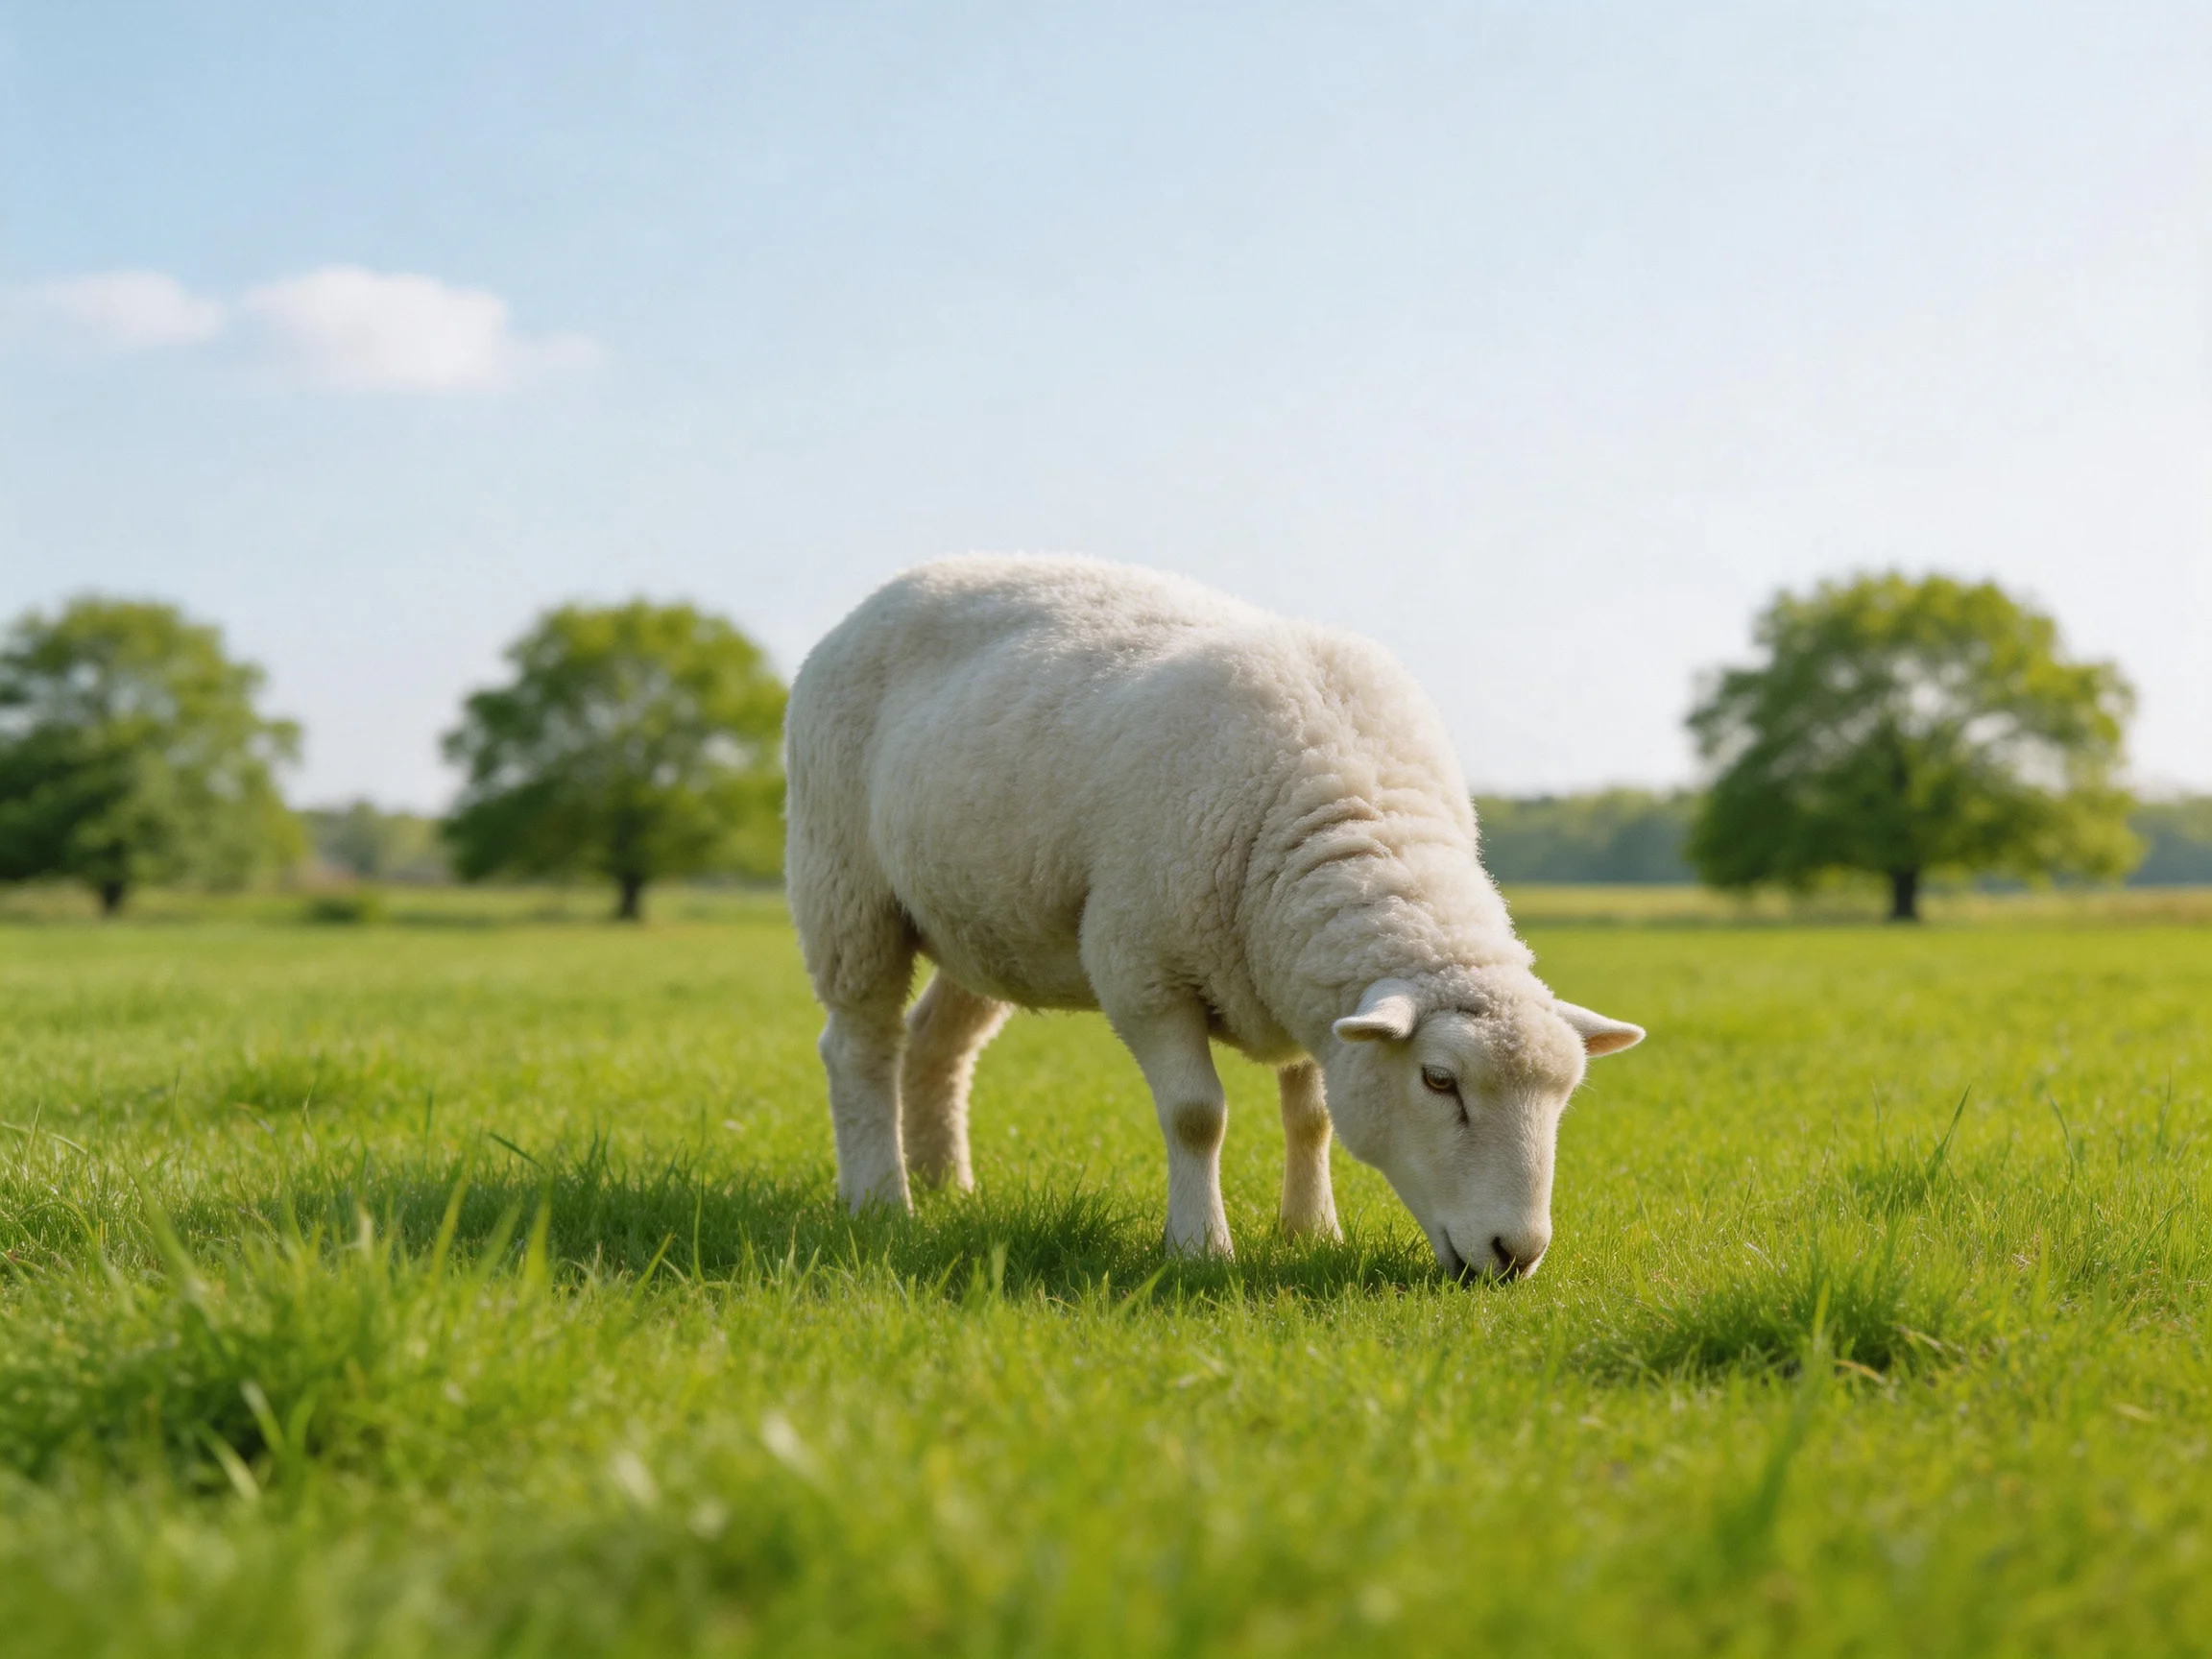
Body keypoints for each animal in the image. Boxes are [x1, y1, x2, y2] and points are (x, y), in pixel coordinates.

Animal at [784, 555, 1644, 1278]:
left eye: (1565, 1094)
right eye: (1439, 1081)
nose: (1517, 1253)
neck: (1354, 805)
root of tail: (896, 586)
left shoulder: (1302, 980)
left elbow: (1313, 1118)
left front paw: (1312, 1231)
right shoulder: (1143, 971)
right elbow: (1198, 1116)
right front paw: (1200, 1248)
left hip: (986, 918)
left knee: (938, 1044)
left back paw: (945, 1187)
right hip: (844, 885)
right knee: (859, 1045)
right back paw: (880, 1198)